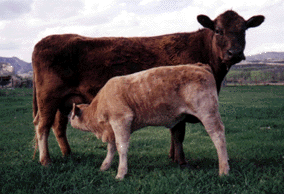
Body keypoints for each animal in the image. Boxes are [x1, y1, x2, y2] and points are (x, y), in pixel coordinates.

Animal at [32, 10, 264, 165]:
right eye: (218, 30)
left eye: (244, 30)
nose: (234, 53)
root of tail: (45, 40)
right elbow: (179, 133)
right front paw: (181, 162)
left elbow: (174, 131)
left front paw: (172, 157)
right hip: (48, 98)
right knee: (42, 126)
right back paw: (46, 161)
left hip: (65, 101)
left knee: (58, 126)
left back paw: (67, 154)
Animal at [69, 63, 229, 180]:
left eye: (71, 113)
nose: (69, 117)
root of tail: (199, 66)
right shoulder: (111, 129)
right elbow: (111, 147)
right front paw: (105, 166)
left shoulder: (121, 120)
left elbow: (121, 147)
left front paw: (121, 173)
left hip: (208, 112)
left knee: (218, 137)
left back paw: (224, 170)